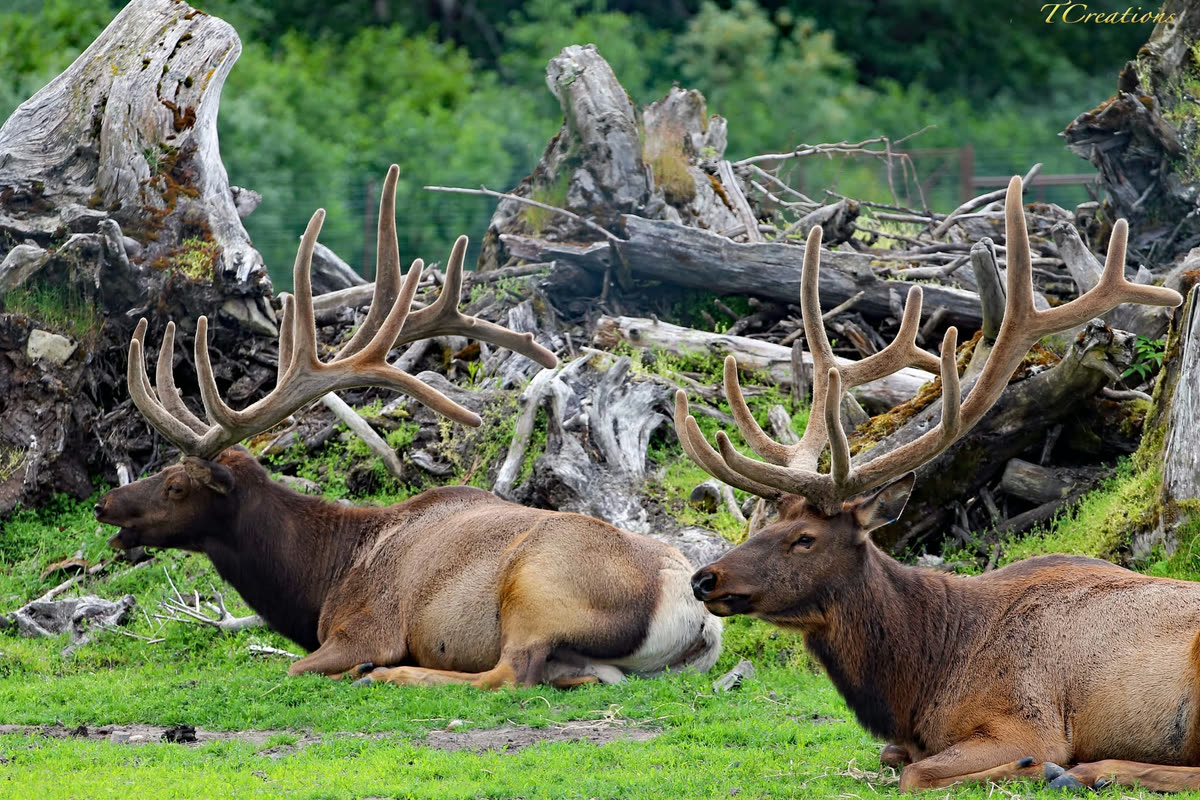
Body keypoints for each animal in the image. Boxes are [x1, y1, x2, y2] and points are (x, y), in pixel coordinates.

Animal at [93, 165, 721, 690]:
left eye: (177, 486)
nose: (106, 504)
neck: (320, 578)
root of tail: (694, 611)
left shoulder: (364, 626)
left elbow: (297, 666)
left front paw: (370, 667)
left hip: (538, 588)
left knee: (510, 676)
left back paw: (389, 676)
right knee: (584, 676)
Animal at [674, 175, 1199, 792]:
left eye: (804, 539)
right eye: (766, 524)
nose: (704, 578)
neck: (925, 678)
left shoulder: (1027, 718)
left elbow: (916, 773)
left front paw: (1033, 766)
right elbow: (891, 757)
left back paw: (1079, 772)